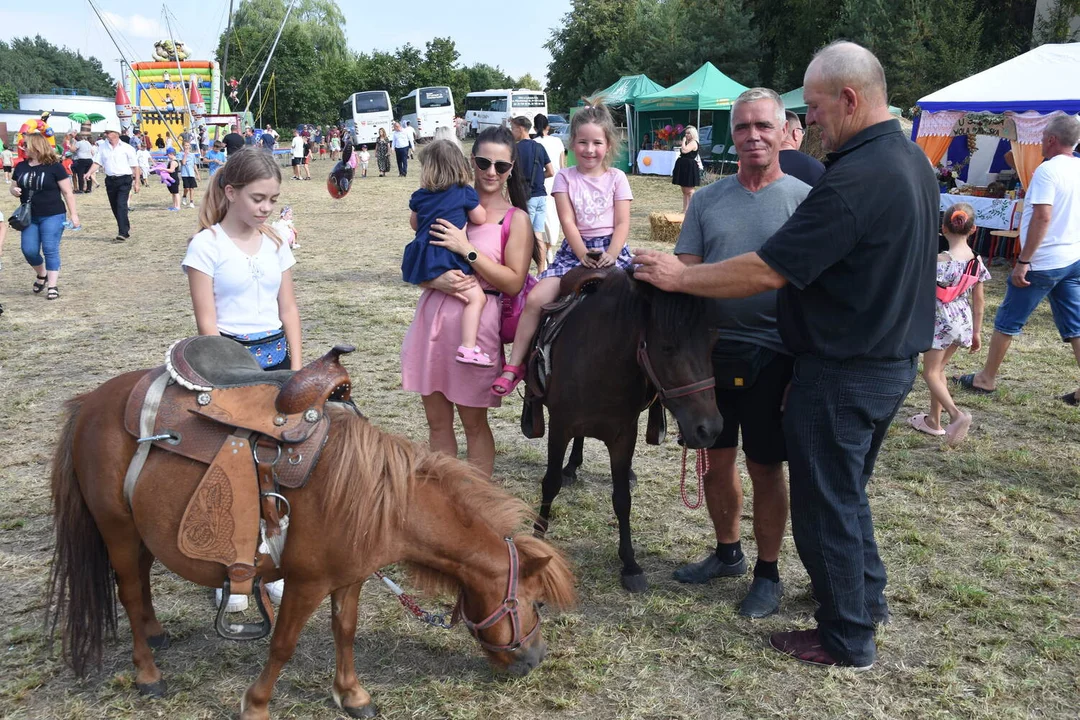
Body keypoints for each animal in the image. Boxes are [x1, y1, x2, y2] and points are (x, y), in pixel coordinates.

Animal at [47, 371, 578, 720]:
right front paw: (256, 705)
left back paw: (156, 634)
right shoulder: (306, 582)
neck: (378, 498)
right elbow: (283, 644)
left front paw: (353, 696)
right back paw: (148, 674)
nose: (535, 660)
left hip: (141, 530)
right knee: (129, 592)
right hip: (116, 528)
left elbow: (345, 631)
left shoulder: (349, 578)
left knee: (140, 585)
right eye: (535, 603)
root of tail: (91, 401)